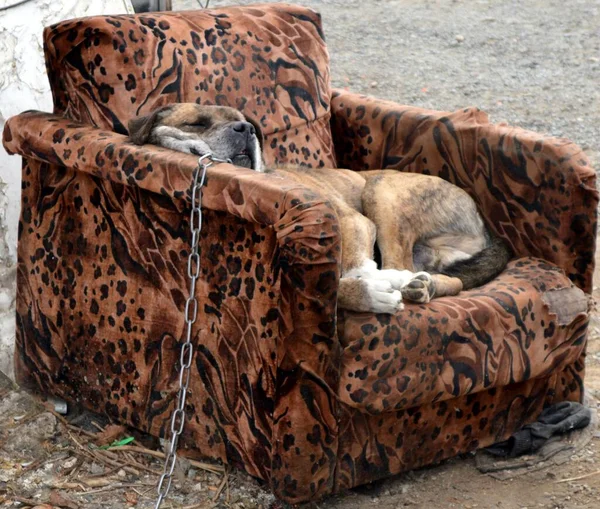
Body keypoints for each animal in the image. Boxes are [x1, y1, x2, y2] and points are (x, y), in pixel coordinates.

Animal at [127, 102, 510, 314]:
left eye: (243, 121)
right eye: (196, 122)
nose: (246, 128)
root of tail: (485, 228)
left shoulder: (355, 222)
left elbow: (355, 270)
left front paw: (375, 285)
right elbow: (331, 290)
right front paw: (370, 291)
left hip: (382, 192)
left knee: (409, 266)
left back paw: (412, 283)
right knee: (449, 279)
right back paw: (421, 285)